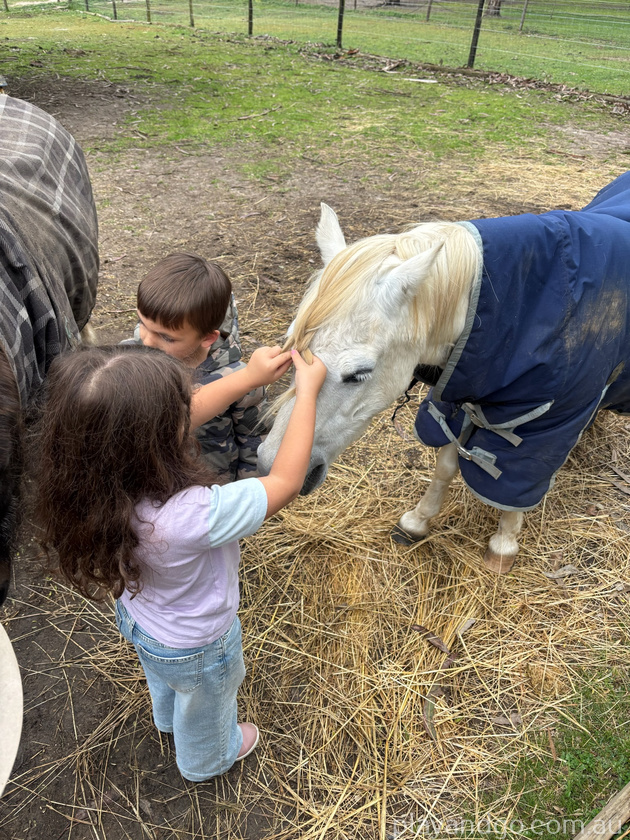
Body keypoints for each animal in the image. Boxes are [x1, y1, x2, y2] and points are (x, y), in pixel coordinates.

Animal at [257, 172, 630, 574]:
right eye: (292, 351)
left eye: (358, 373)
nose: (268, 463)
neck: (518, 312)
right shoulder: (462, 397)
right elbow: (447, 463)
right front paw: (418, 521)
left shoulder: (543, 422)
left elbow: (519, 482)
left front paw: (504, 543)